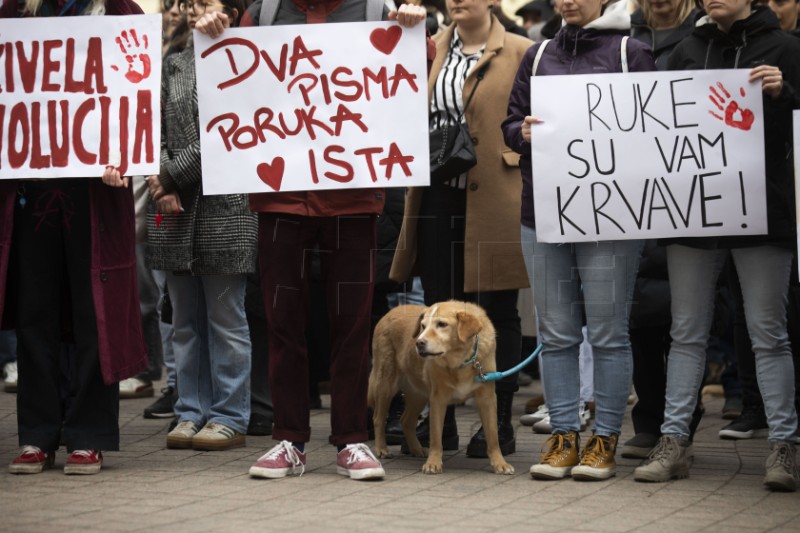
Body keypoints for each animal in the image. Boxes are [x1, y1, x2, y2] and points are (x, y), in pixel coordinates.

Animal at [368, 300, 512, 474]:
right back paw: (381, 448)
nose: (419, 343)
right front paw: (433, 463)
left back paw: (416, 449)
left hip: (418, 394)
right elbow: (436, 438)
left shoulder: (487, 398)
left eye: (442, 324)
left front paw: (500, 463)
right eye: (423, 326)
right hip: (385, 384)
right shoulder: (438, 399)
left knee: (406, 421)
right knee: (378, 418)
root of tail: (393, 310)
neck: (460, 361)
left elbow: (493, 436)